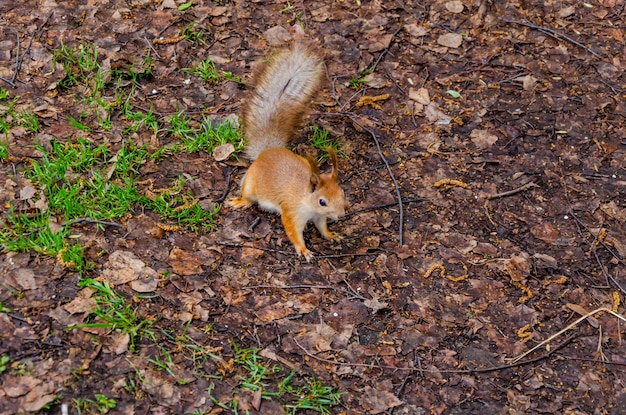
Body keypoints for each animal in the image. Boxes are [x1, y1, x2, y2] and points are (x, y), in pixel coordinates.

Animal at [228, 43, 346, 264]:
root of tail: (268, 151)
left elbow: (322, 227)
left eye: (342, 193)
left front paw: (331, 235)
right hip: (250, 184)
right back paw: (241, 201)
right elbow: (293, 231)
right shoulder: (292, 211)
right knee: (249, 197)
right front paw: (303, 249)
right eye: (322, 201)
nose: (341, 215)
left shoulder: (318, 216)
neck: (306, 199)